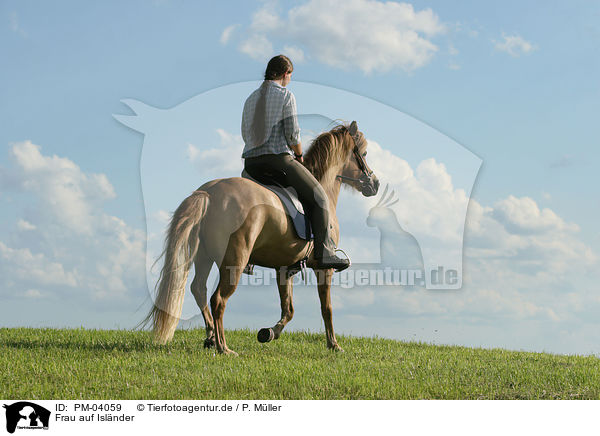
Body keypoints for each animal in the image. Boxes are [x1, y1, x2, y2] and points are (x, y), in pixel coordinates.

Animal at [144, 120, 380, 354]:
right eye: (364, 153)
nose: (375, 184)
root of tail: (209, 192)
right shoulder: (324, 268)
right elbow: (327, 308)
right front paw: (334, 345)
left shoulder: (285, 268)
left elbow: (288, 309)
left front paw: (269, 333)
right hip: (234, 260)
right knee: (218, 299)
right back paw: (223, 347)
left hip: (203, 257)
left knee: (199, 289)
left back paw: (210, 337)